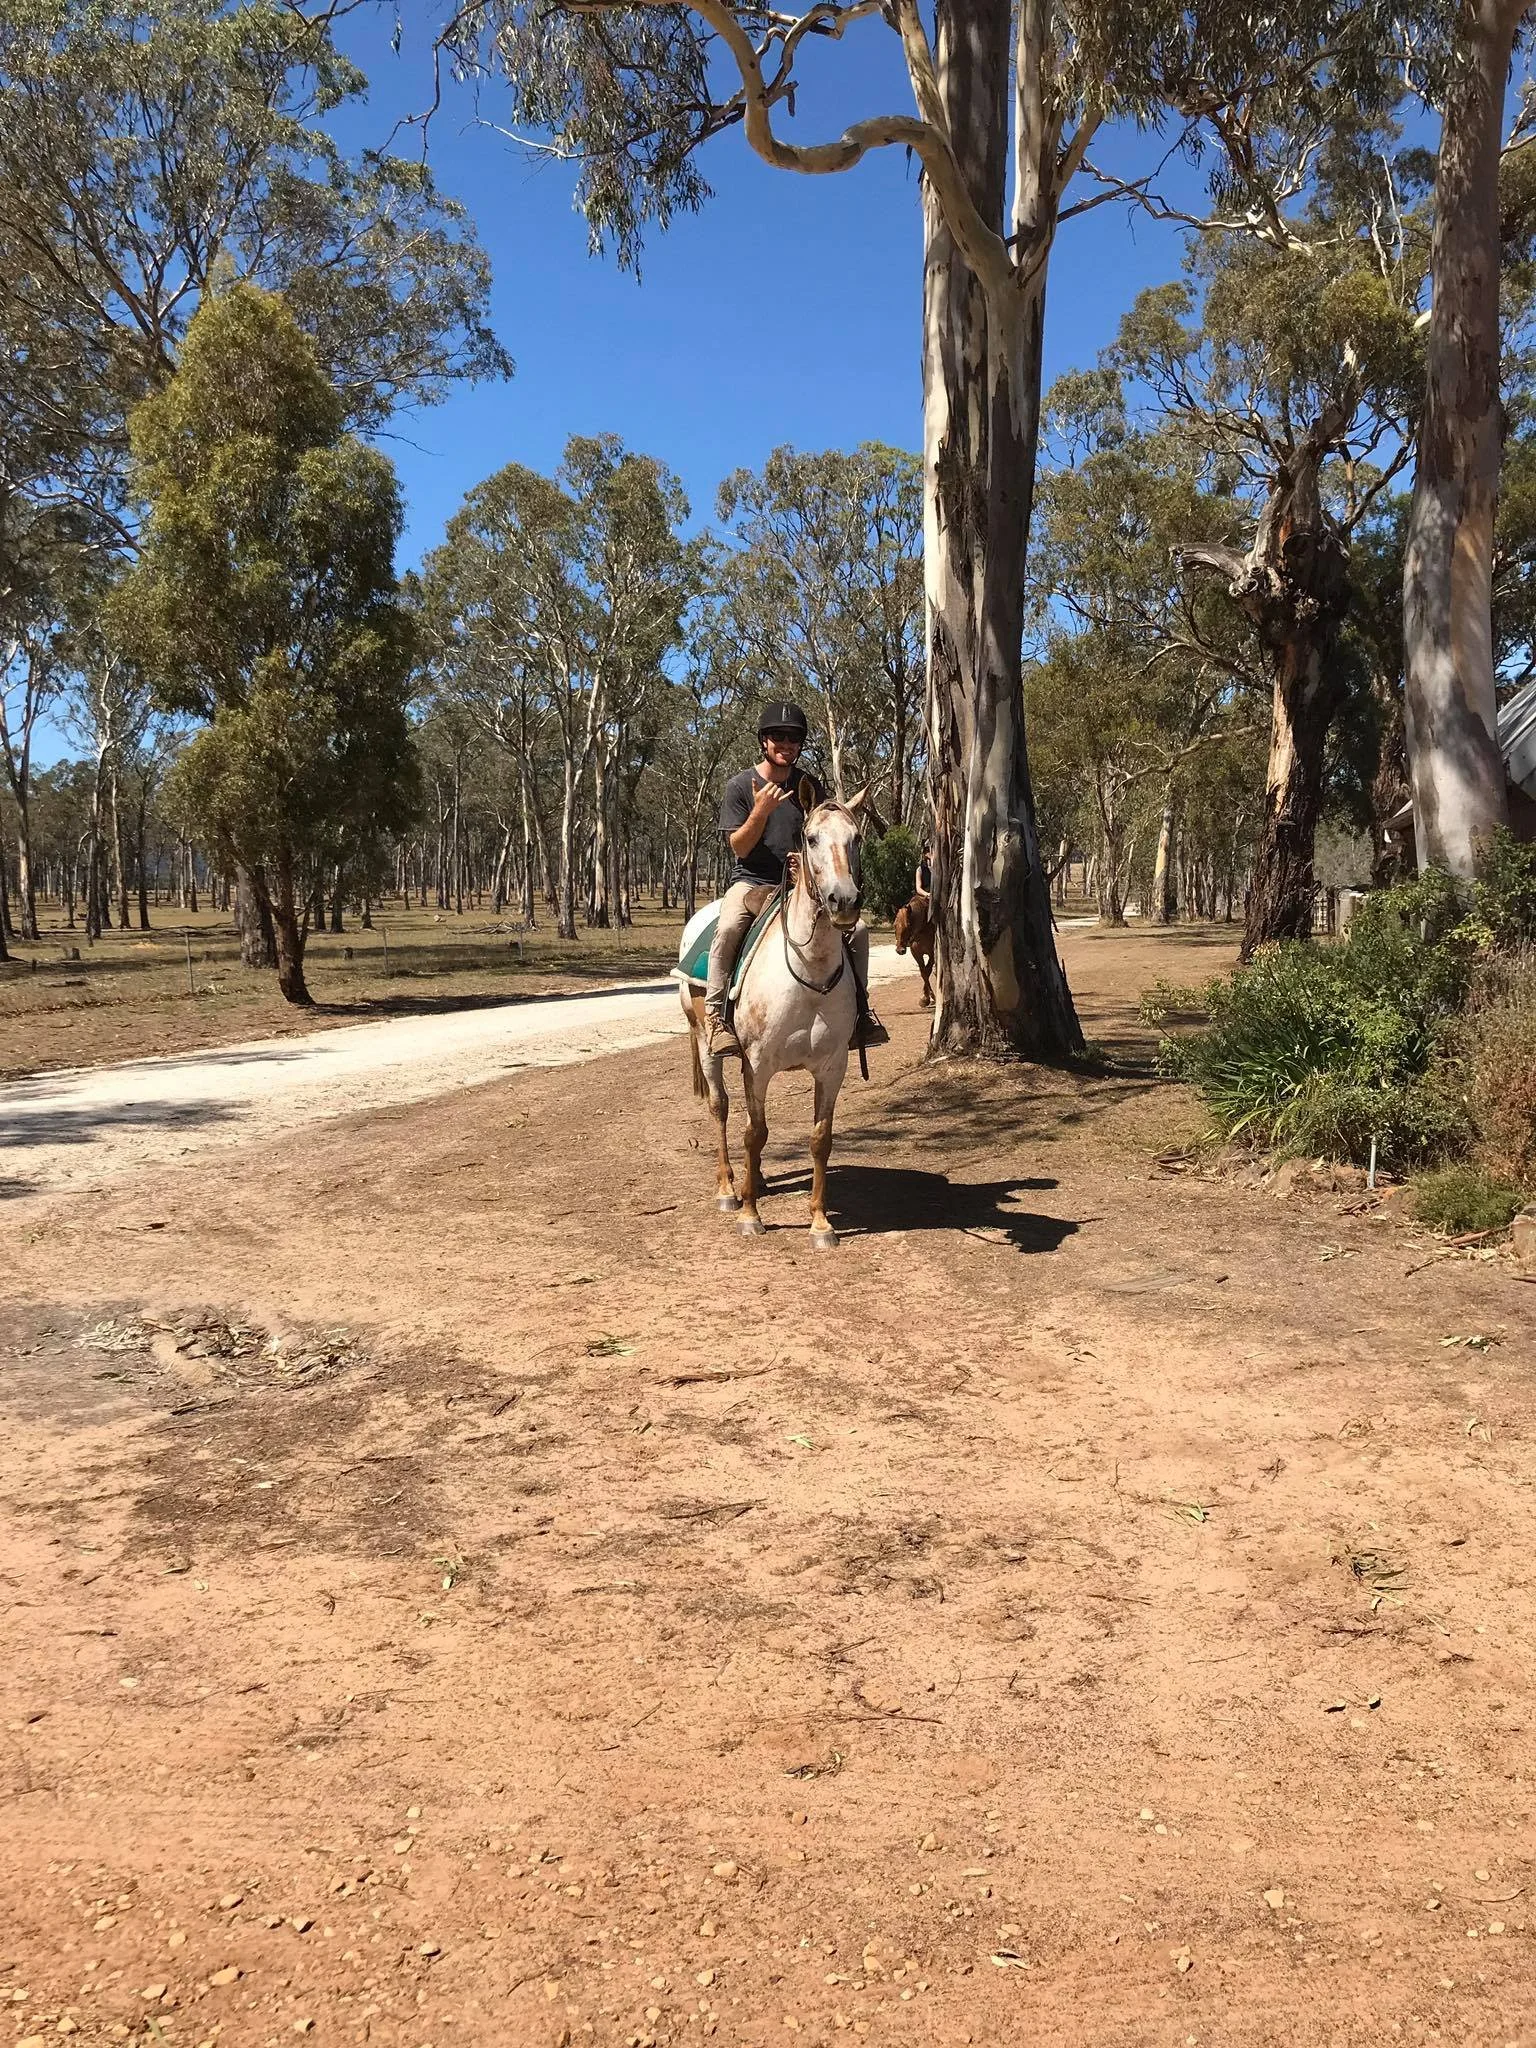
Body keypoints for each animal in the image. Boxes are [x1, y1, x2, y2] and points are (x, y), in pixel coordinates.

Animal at [682, 786, 866, 1250]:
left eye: (856, 838)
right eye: (812, 839)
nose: (844, 901)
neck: (808, 972)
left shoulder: (832, 1067)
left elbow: (820, 1139)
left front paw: (820, 1224)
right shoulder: (758, 1064)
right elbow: (754, 1132)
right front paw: (749, 1215)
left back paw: (758, 1180)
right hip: (705, 1043)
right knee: (721, 1108)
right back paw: (729, 1188)